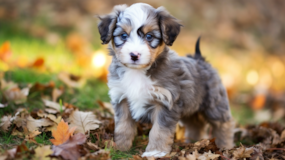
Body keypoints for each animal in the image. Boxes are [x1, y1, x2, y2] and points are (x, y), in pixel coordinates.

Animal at [97, 2, 233, 158]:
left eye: (149, 36)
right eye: (123, 36)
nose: (134, 55)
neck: (138, 72)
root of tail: (199, 58)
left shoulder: (166, 102)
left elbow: (159, 131)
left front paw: (155, 152)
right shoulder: (122, 98)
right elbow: (123, 126)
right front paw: (120, 148)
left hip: (214, 104)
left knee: (223, 125)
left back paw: (225, 146)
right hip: (191, 105)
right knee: (195, 124)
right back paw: (193, 142)